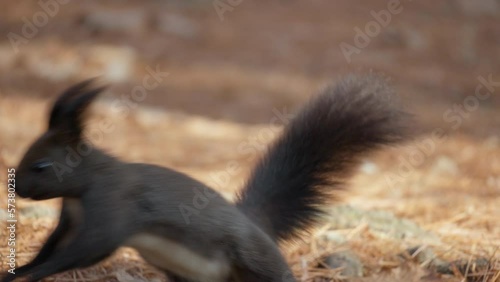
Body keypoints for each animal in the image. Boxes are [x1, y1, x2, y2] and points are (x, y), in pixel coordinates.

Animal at [0, 75, 410, 282]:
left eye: (41, 165)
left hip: (254, 255)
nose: (15, 185)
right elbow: (50, 248)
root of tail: (251, 222)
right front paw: (18, 270)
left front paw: (34, 274)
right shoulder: (70, 217)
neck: (86, 185)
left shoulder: (112, 207)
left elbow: (86, 250)